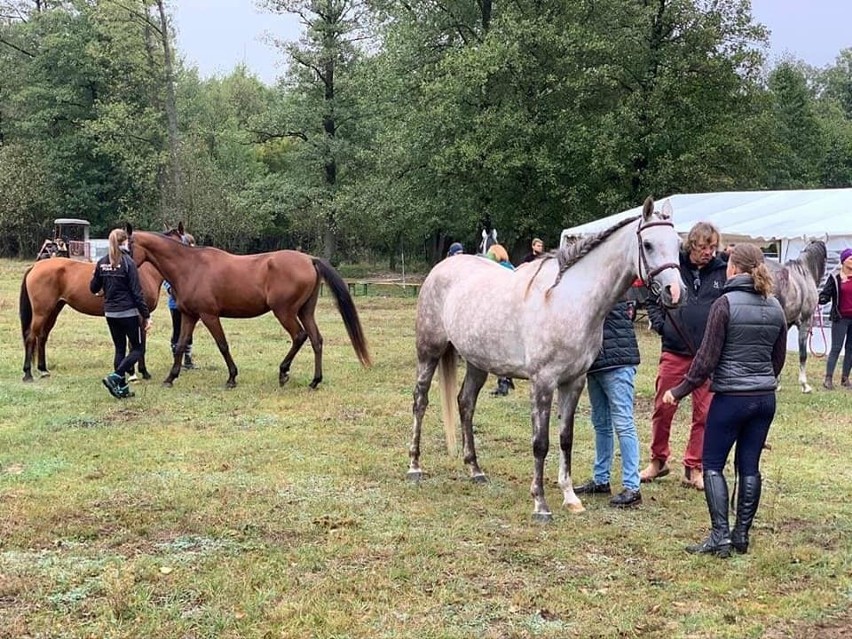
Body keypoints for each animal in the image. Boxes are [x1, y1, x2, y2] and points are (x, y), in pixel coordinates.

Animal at [20, 256, 164, 384]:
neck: (146, 271)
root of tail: (35, 266)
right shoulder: (139, 316)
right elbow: (137, 345)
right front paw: (139, 373)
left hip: (53, 311)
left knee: (42, 337)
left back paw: (43, 370)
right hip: (41, 313)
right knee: (31, 338)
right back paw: (28, 374)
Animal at [125, 230, 370, 390]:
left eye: (126, 248)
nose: (122, 268)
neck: (190, 267)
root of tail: (310, 259)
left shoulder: (209, 315)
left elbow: (222, 345)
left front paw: (232, 378)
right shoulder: (189, 315)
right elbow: (180, 345)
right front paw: (170, 378)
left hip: (285, 312)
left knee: (300, 336)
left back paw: (283, 372)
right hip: (305, 311)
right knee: (316, 340)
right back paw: (315, 380)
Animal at [408, 198, 684, 524]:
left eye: (678, 244)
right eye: (649, 244)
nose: (675, 292)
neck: (567, 299)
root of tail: (441, 268)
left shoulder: (574, 382)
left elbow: (566, 438)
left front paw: (570, 498)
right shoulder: (542, 382)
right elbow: (540, 443)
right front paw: (540, 505)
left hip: (477, 362)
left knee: (465, 404)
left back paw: (475, 470)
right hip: (429, 352)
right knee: (420, 401)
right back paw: (414, 466)